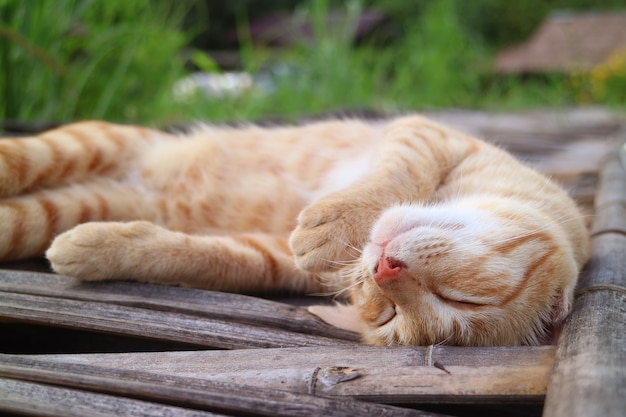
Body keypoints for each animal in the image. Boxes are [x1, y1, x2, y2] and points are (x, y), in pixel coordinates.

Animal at [0, 114, 588, 344]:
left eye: (388, 314)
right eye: (463, 298)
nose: (384, 267)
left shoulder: (269, 255)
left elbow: (207, 256)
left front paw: (96, 248)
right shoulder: (421, 133)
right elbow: (396, 175)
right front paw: (339, 221)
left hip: (61, 208)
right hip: (80, 145)